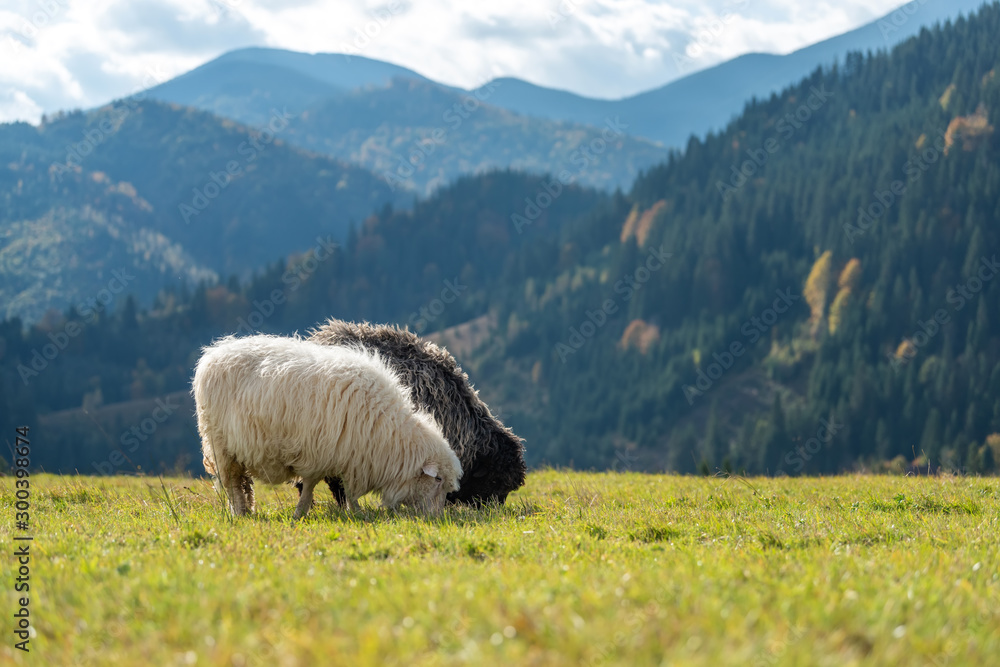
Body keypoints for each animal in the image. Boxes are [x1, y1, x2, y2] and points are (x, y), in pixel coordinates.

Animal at [193, 336, 462, 520]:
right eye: (437, 479)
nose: (438, 518)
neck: (387, 431)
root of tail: (212, 354)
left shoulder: (351, 457)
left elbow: (349, 490)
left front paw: (356, 512)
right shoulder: (319, 454)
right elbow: (312, 486)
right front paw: (300, 513)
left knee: (243, 483)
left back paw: (247, 510)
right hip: (221, 446)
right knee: (232, 484)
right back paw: (240, 513)